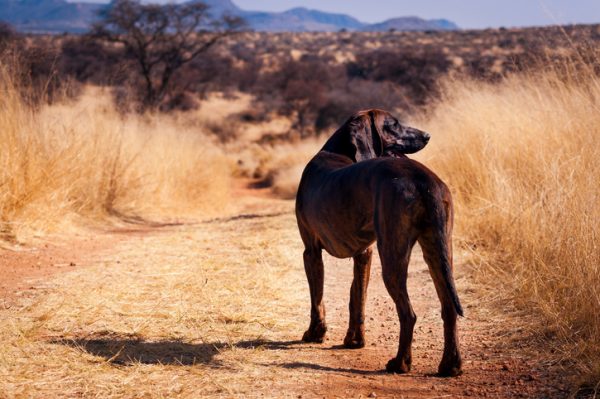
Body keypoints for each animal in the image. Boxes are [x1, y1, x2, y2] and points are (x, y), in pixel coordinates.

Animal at [296, 108, 464, 376]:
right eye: (393, 125)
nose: (427, 135)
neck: (339, 151)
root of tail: (423, 179)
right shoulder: (364, 253)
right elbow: (357, 296)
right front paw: (354, 340)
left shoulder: (311, 252)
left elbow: (317, 298)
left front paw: (315, 333)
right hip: (438, 251)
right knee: (449, 308)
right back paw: (451, 365)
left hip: (393, 259)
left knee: (408, 314)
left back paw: (400, 363)